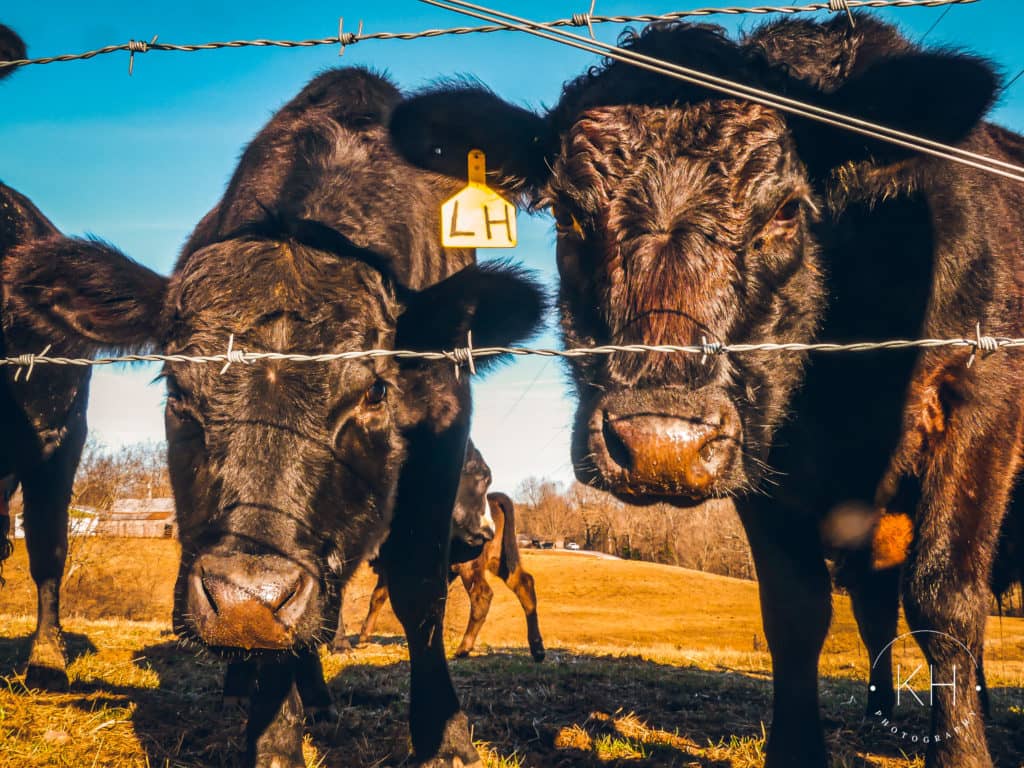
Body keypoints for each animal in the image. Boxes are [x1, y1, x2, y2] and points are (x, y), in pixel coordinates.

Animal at [344, 439, 545, 662]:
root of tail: (492, 499)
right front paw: (364, 637)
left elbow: (378, 597)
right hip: (499, 561)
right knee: (524, 584)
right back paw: (537, 649)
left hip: (470, 567)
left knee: (482, 596)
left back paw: (463, 648)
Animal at [387, 14, 1021, 768]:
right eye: (569, 215)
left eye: (786, 210)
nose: (661, 443)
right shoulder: (762, 454)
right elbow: (796, 611)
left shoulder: (981, 395)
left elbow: (945, 600)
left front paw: (962, 749)